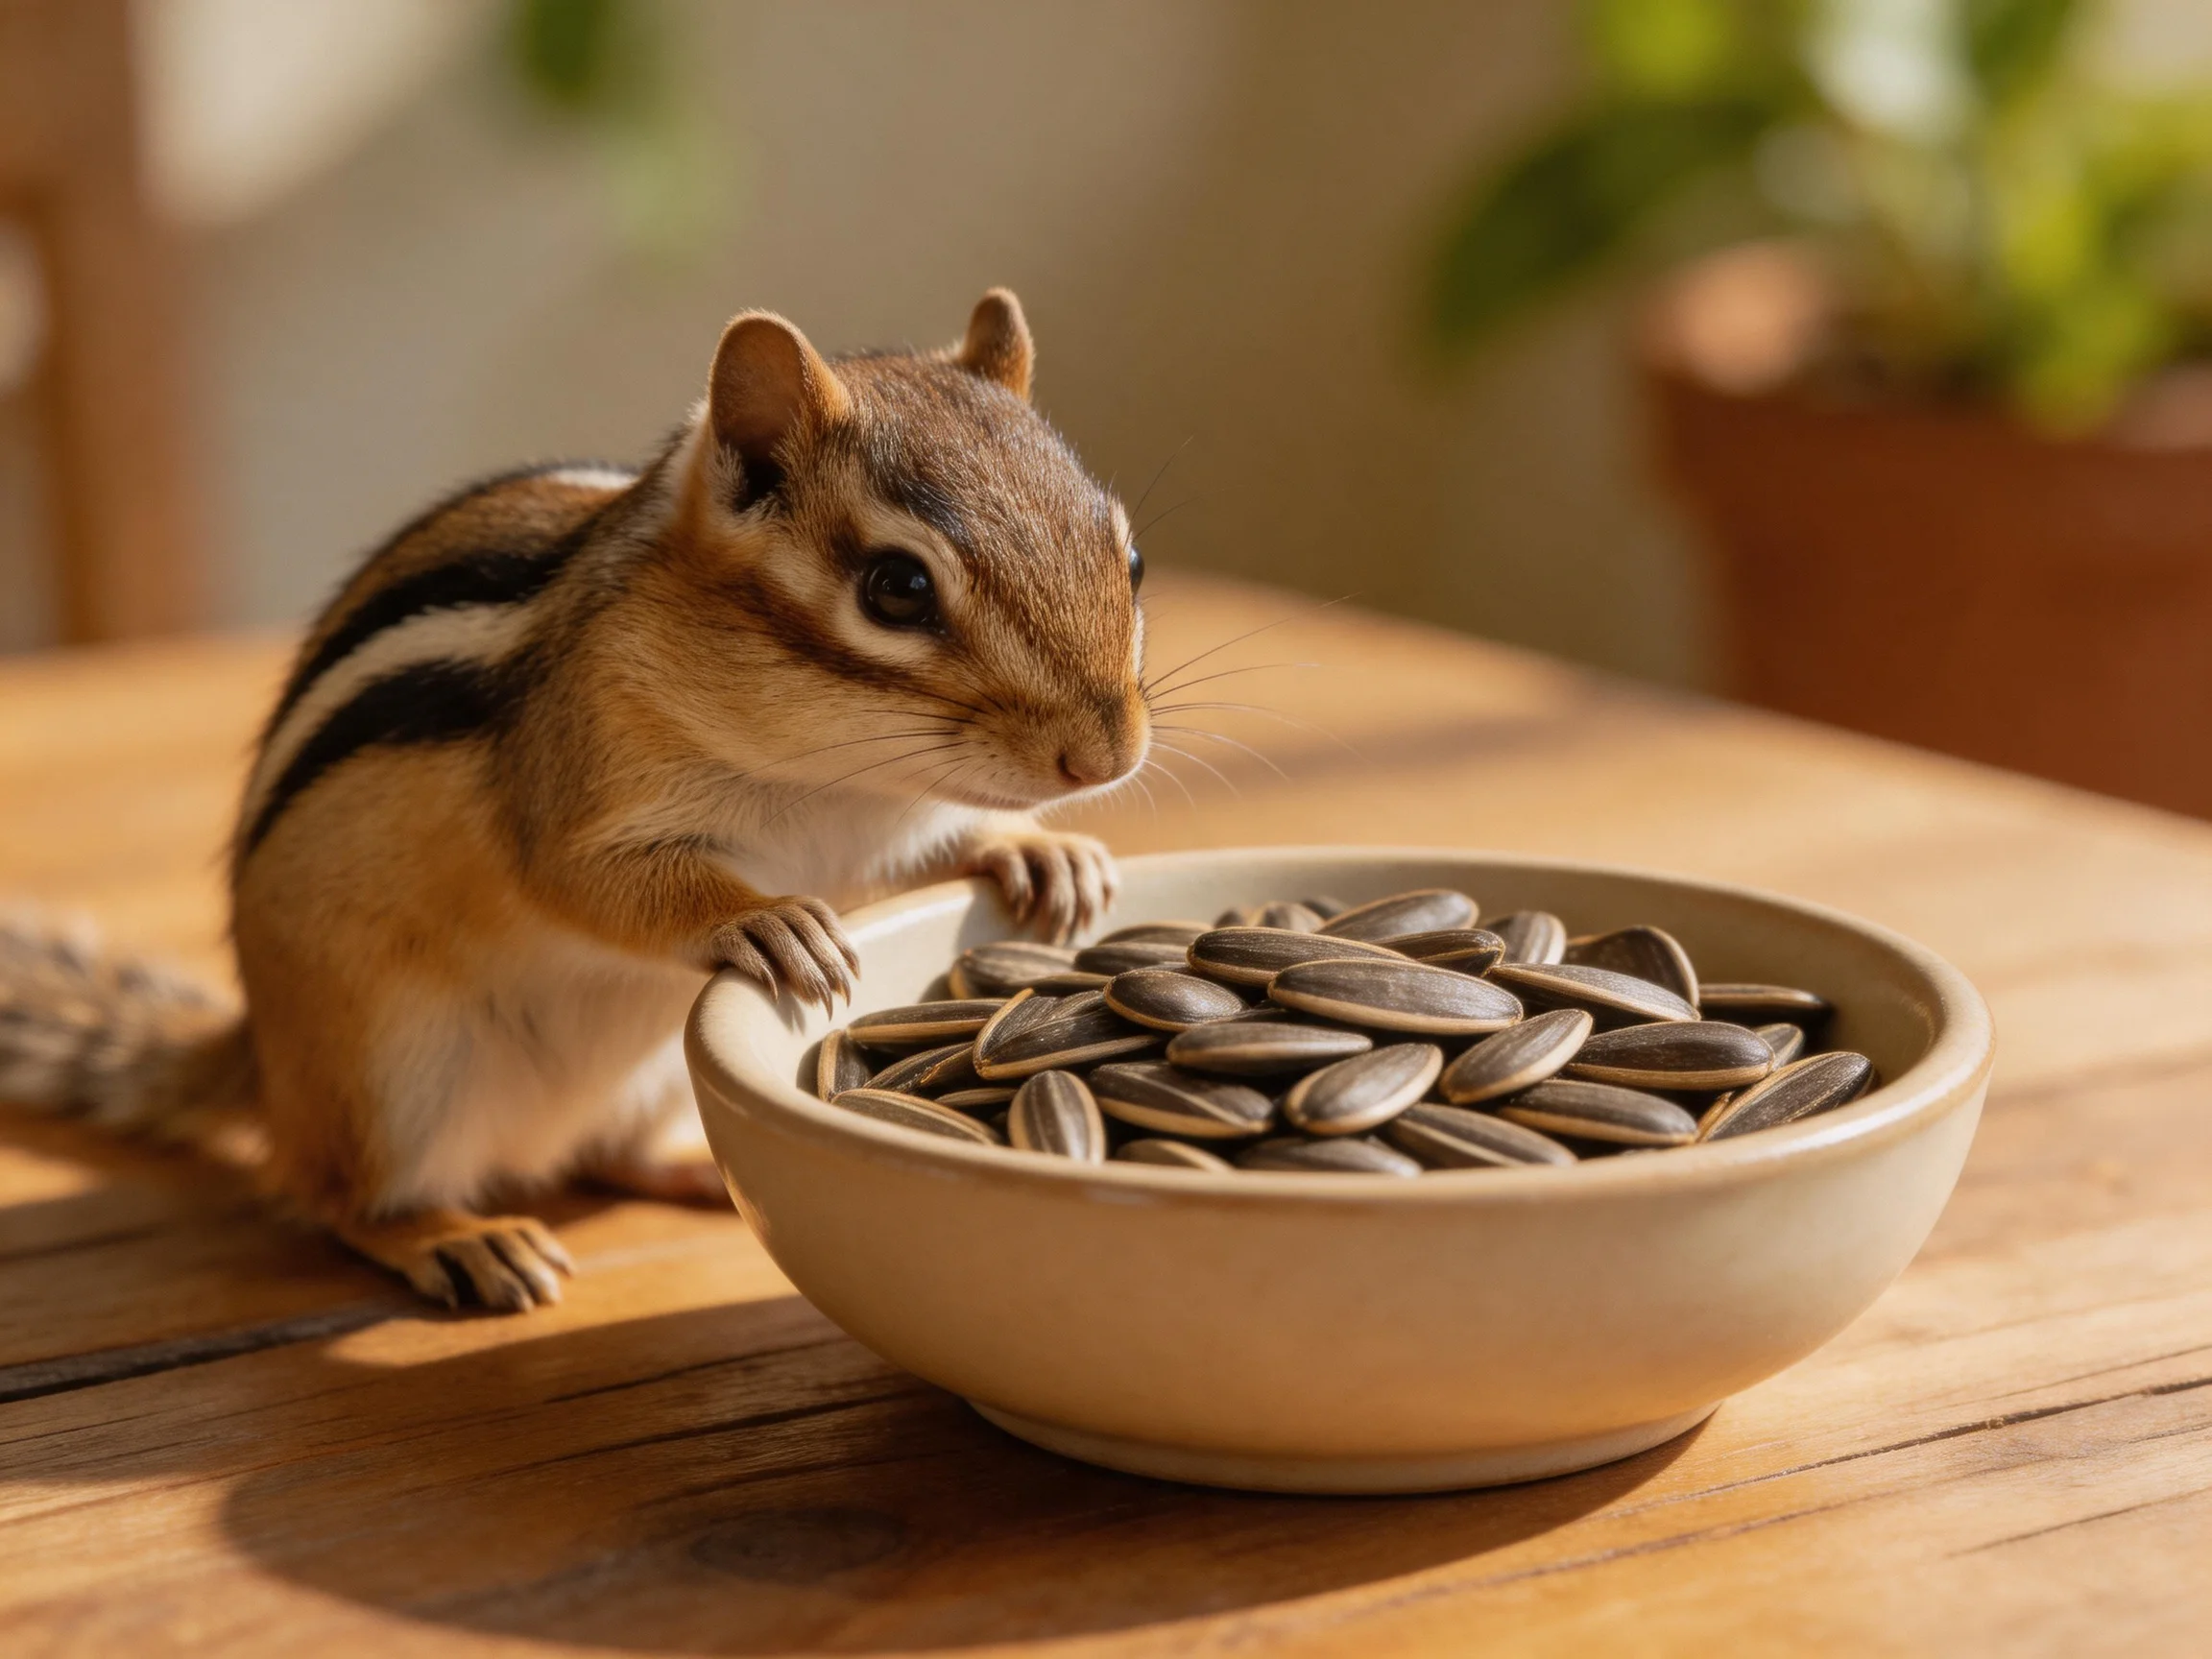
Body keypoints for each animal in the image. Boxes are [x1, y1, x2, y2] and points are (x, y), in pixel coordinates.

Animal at [0, 289, 1149, 1312]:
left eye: (1130, 554)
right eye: (897, 589)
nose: (1106, 757)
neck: (837, 779)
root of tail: (264, 1061)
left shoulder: (877, 837)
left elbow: (939, 848)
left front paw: (1039, 854)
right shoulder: (569, 777)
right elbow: (586, 881)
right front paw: (764, 921)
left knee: (603, 1156)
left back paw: (695, 1172)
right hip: (385, 1067)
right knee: (341, 1196)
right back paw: (458, 1239)